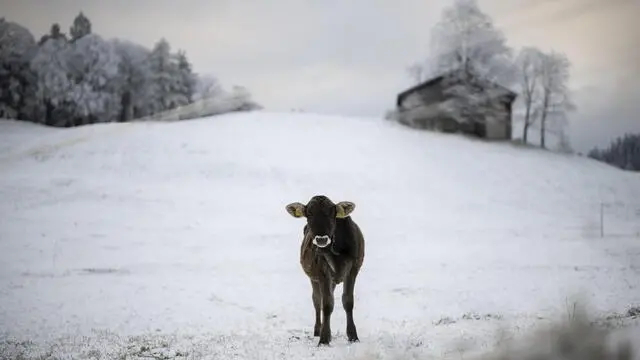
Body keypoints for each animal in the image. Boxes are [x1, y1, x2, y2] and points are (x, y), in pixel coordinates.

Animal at [284, 195, 364, 348]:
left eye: (331, 213)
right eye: (309, 214)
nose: (321, 239)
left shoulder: (354, 269)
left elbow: (348, 301)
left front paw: (353, 336)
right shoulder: (322, 272)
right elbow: (326, 304)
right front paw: (324, 339)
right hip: (314, 278)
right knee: (317, 300)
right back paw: (318, 330)